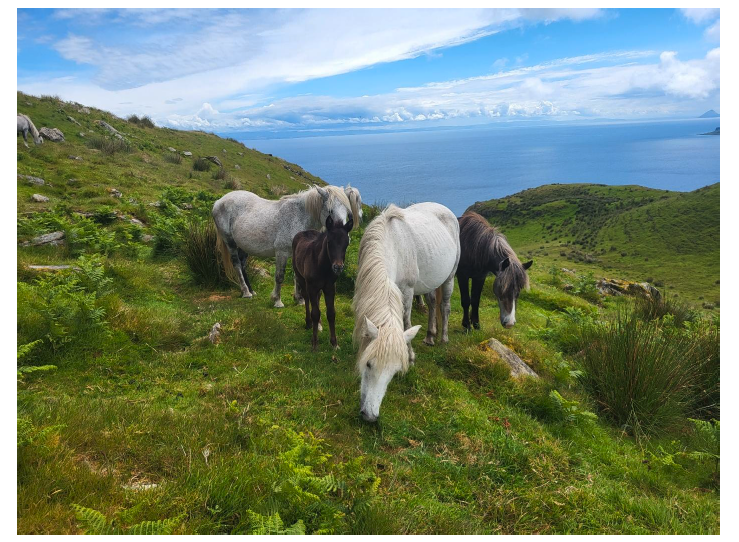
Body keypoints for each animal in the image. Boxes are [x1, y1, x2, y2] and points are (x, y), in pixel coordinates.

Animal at [213, 185, 354, 308]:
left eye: (347, 212)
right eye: (330, 211)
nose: (342, 236)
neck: (298, 217)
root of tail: (219, 202)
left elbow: (297, 276)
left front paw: (299, 299)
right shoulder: (282, 253)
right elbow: (279, 276)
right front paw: (277, 300)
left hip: (244, 246)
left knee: (242, 265)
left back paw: (250, 290)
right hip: (230, 243)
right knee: (236, 264)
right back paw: (246, 292)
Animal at [292, 214, 353, 351]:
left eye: (346, 244)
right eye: (329, 242)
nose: (338, 267)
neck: (322, 267)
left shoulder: (330, 287)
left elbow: (331, 313)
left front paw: (334, 344)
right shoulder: (312, 286)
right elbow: (315, 313)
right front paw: (314, 344)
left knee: (317, 298)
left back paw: (319, 325)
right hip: (301, 277)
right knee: (306, 297)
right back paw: (308, 323)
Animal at [352, 202, 460, 422]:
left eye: (394, 372)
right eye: (368, 364)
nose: (370, 416)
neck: (393, 246)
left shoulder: (408, 291)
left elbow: (406, 322)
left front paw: (410, 356)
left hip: (450, 277)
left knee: (444, 306)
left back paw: (443, 338)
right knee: (432, 303)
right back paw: (430, 336)